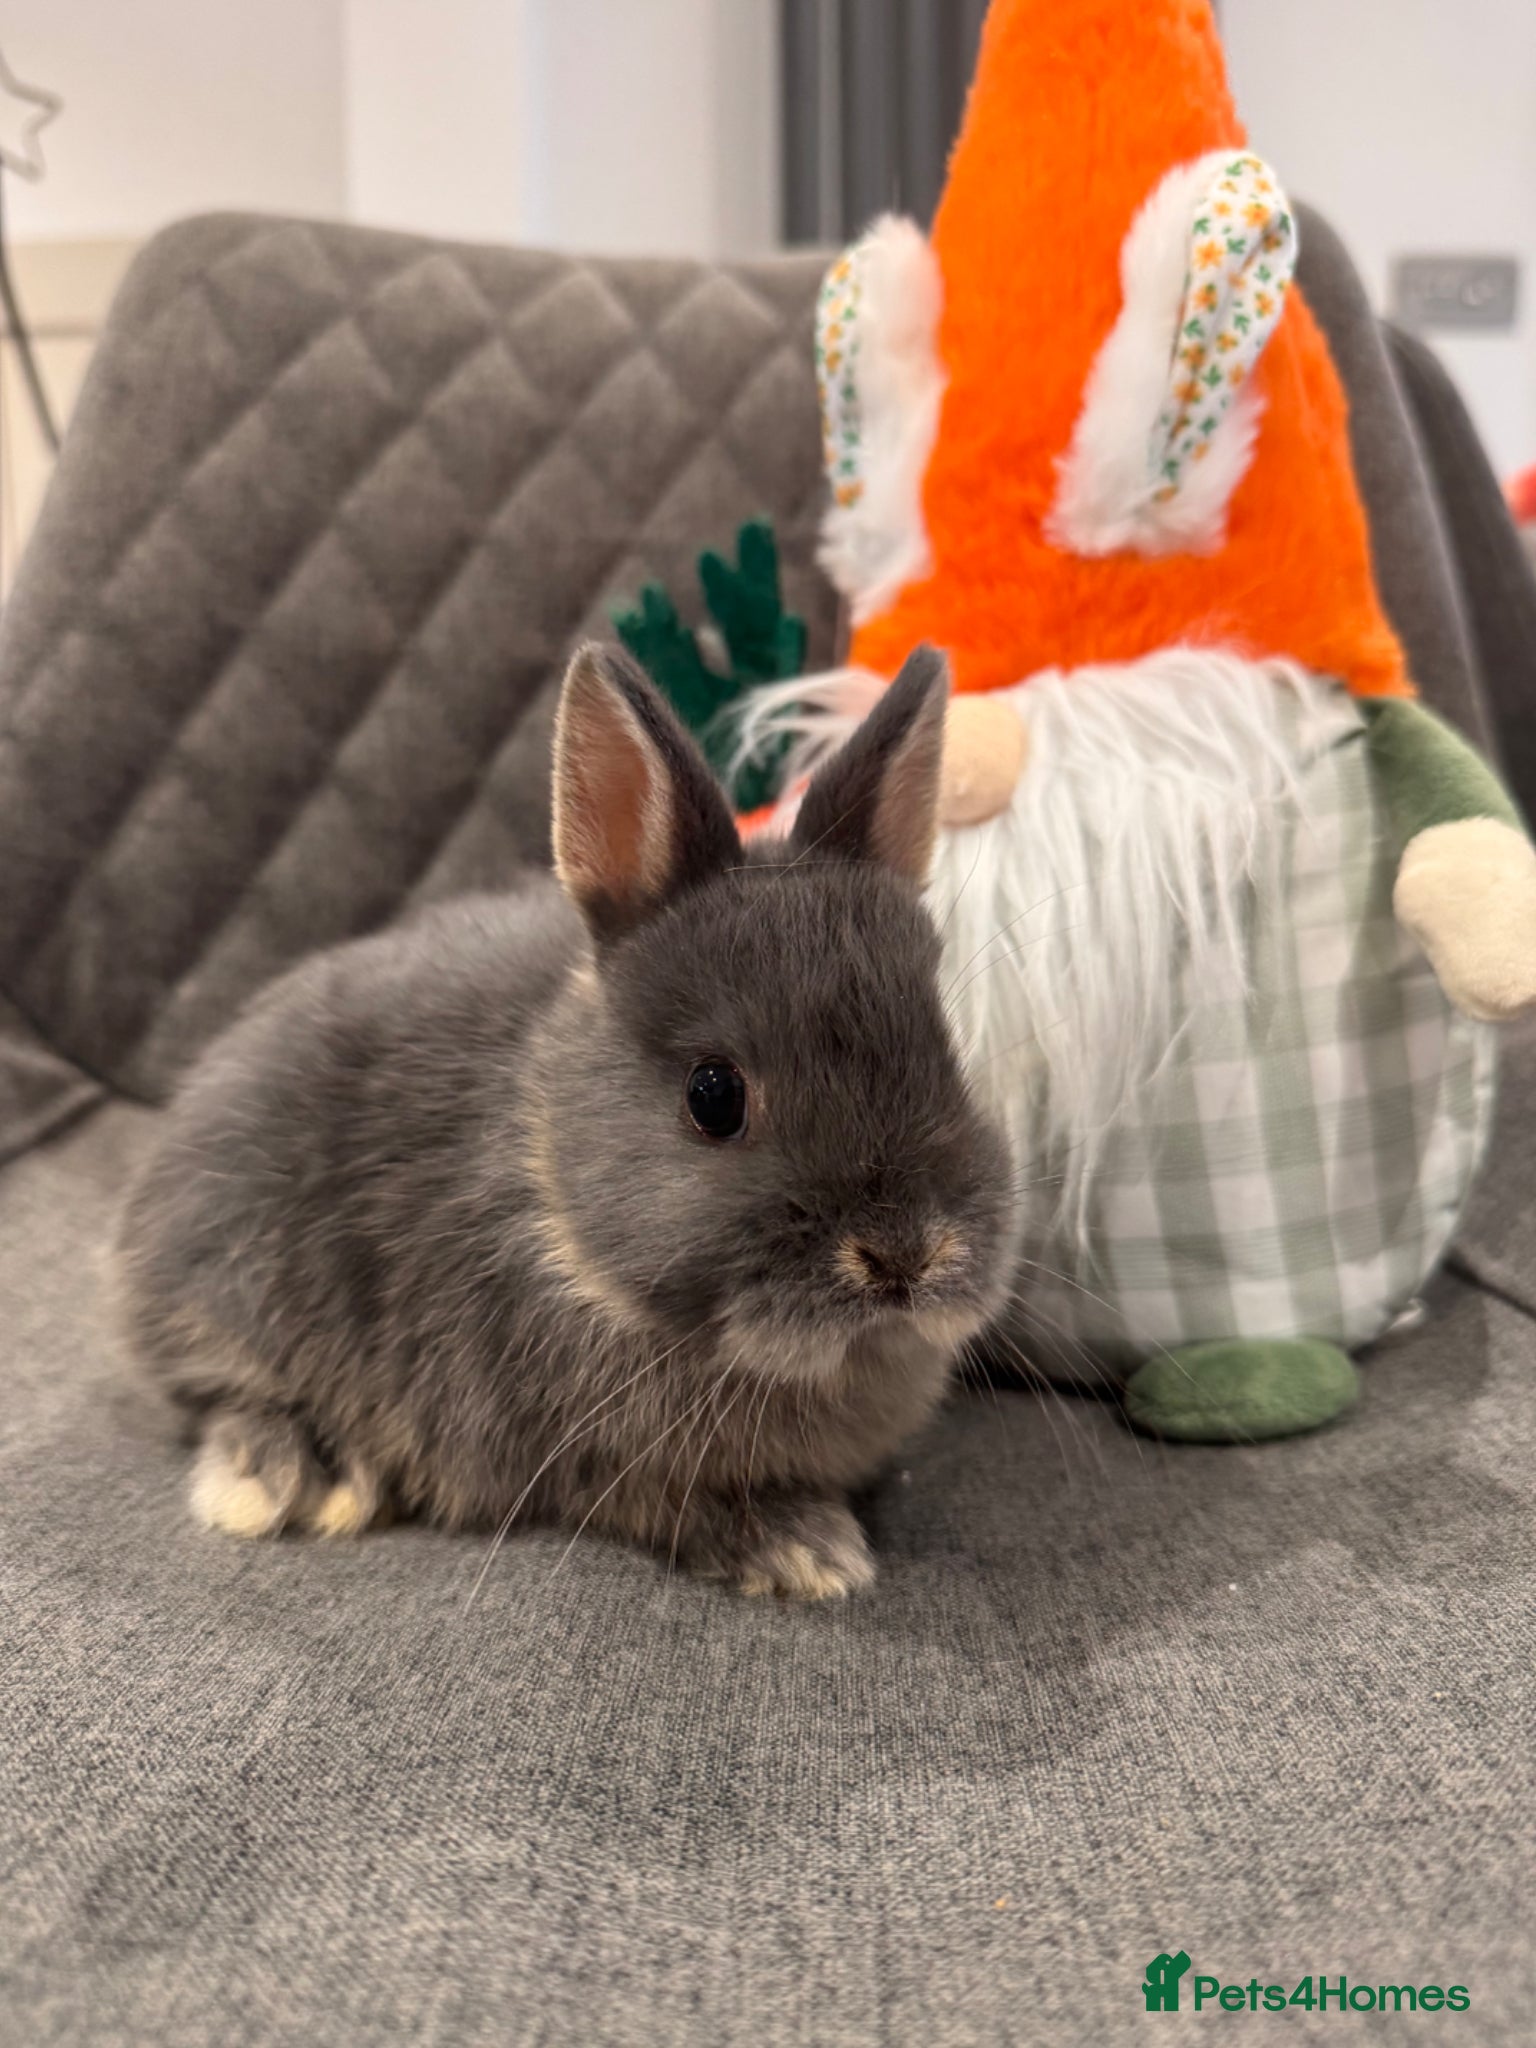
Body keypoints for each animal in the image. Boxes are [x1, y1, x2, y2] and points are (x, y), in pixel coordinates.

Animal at [114, 641, 1016, 1599]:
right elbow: (678, 1503)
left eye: (948, 1053)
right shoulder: (585, 1458)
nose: (906, 1256)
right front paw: (811, 1552)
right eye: (714, 1095)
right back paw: (284, 1479)